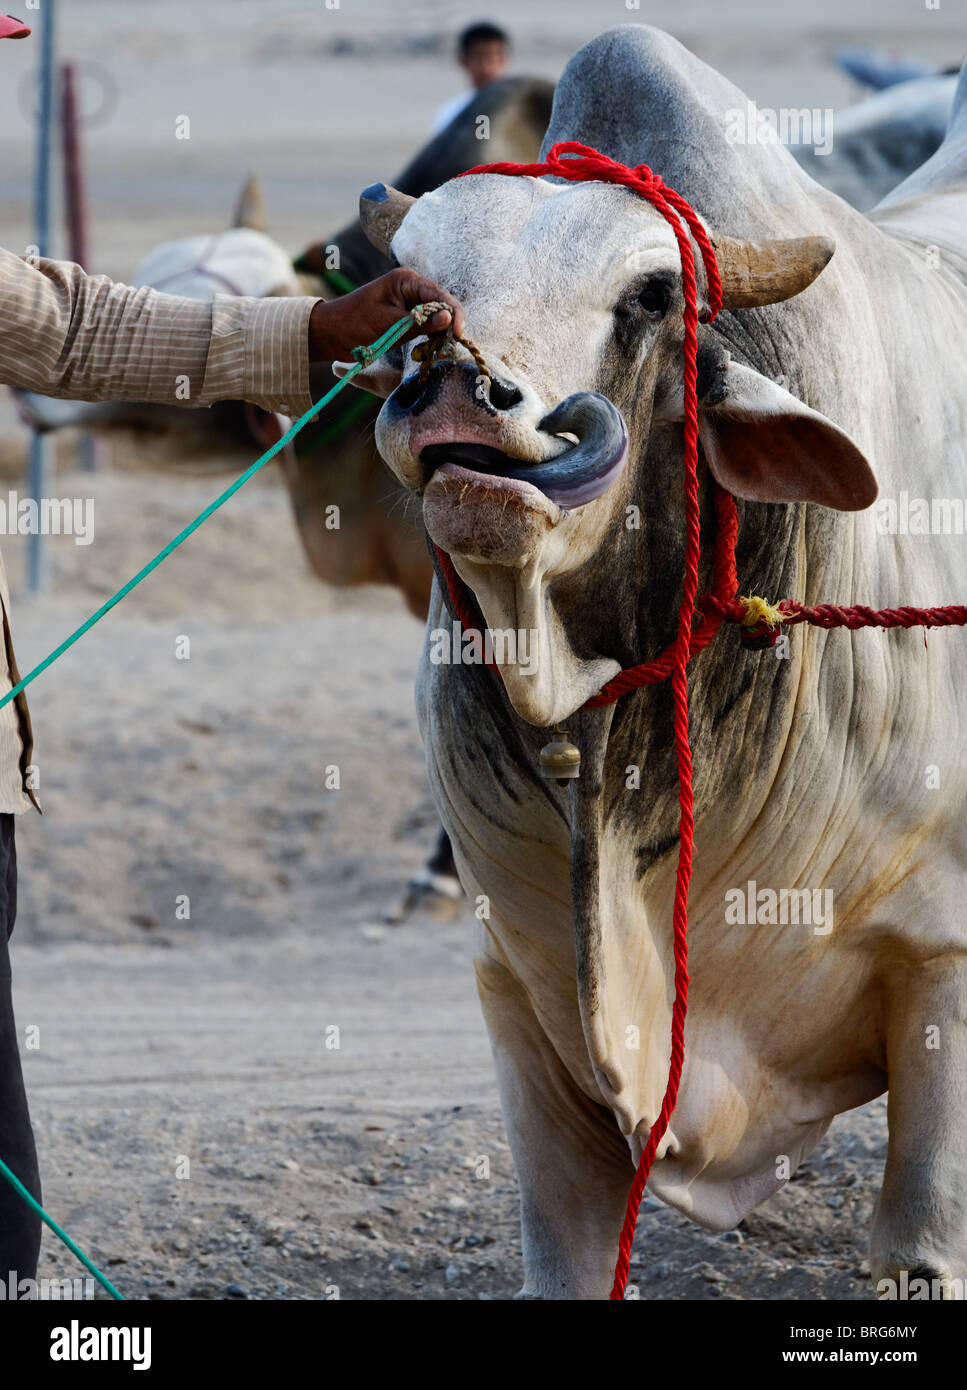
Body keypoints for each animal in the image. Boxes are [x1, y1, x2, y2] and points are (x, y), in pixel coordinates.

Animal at [346, 24, 967, 1298]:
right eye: (415, 291)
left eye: (647, 294)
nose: (459, 393)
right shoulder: (519, 993)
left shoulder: (943, 964)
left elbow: (919, 1239)